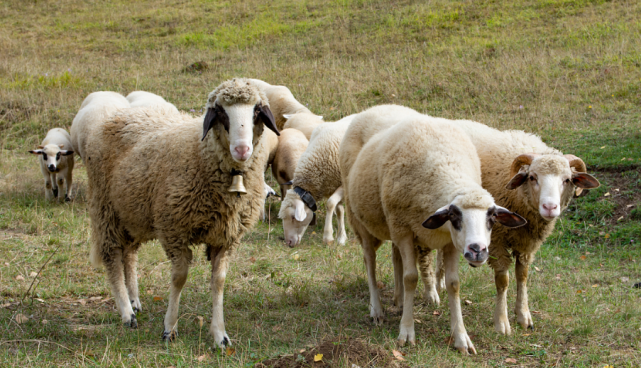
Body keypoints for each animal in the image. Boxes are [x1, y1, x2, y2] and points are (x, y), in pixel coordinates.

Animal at [84, 77, 278, 348]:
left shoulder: (226, 238)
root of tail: (120, 114)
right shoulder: (173, 229)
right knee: (112, 257)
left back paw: (134, 300)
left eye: (257, 111)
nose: (242, 149)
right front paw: (169, 328)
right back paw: (126, 312)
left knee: (129, 255)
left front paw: (219, 334)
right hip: (105, 209)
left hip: (132, 213)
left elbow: (219, 282)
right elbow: (179, 278)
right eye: (220, 112)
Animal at [276, 114, 356, 247]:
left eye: (293, 217)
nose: (288, 242)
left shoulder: (343, 184)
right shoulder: (333, 185)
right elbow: (339, 210)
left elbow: (330, 204)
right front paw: (341, 237)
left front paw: (328, 236)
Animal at [340, 113, 524, 354]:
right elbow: (410, 278)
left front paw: (461, 338)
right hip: (362, 221)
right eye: (454, 216)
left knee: (395, 258)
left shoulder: (450, 242)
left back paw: (399, 300)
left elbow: (453, 284)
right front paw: (406, 332)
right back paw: (376, 310)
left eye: (492, 217)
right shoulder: (404, 230)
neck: (445, 164)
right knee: (370, 262)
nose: (478, 250)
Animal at [416, 119, 600, 334]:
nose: (550, 207)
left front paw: (523, 315)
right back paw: (431, 291)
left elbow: (523, 276)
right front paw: (502, 322)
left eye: (567, 179)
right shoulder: (496, 240)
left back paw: (441, 282)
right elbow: (503, 280)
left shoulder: (526, 243)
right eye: (532, 177)